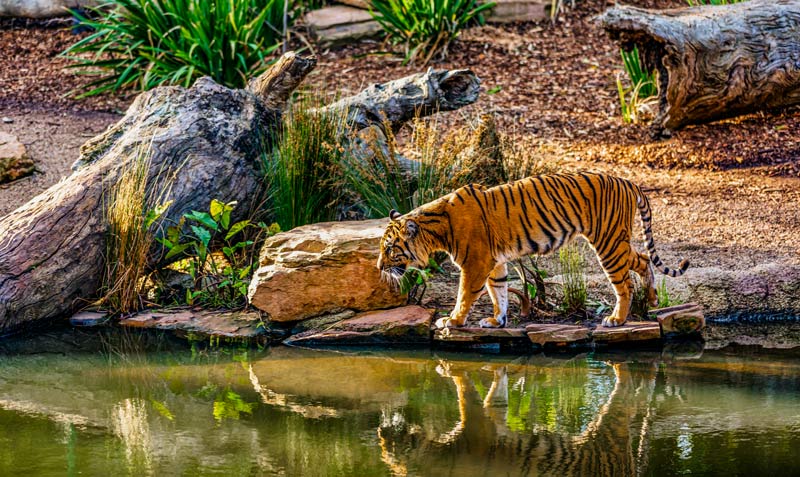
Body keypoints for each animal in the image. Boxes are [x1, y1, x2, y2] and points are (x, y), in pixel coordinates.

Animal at [376, 172, 689, 328]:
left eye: (391, 249)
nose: (379, 267)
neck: (436, 228)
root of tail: (627, 181)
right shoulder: (494, 263)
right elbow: (499, 292)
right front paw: (496, 320)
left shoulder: (475, 264)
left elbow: (464, 295)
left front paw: (452, 320)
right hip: (617, 241)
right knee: (644, 259)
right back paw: (652, 298)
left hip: (608, 242)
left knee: (624, 284)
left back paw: (617, 319)